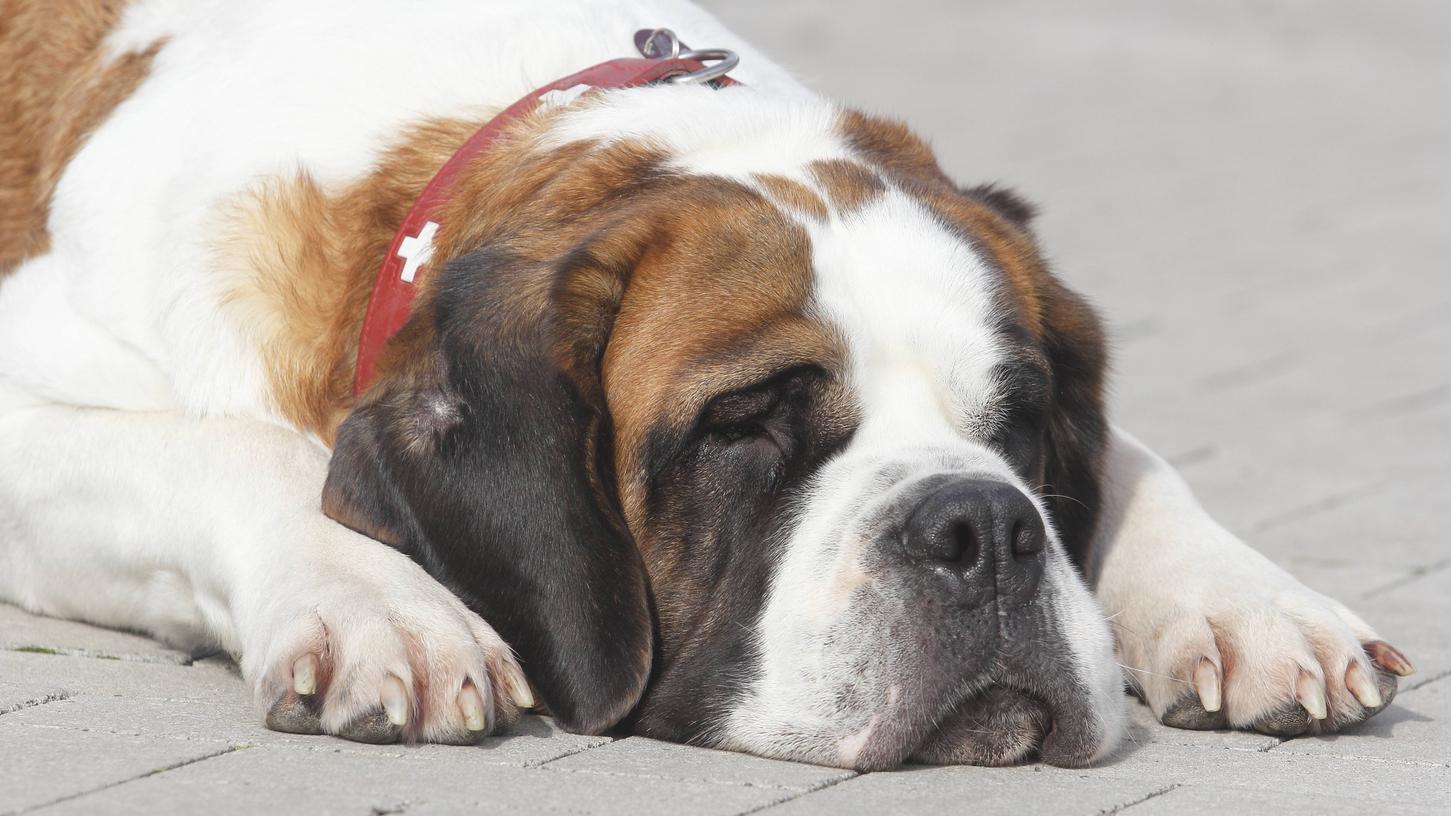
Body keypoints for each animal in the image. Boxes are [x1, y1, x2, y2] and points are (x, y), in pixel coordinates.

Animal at [0, 0, 1404, 766]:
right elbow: (240, 448)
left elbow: (1137, 460)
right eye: (742, 427)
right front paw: (380, 607)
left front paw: (1249, 603)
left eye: (1014, 428)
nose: (980, 527)